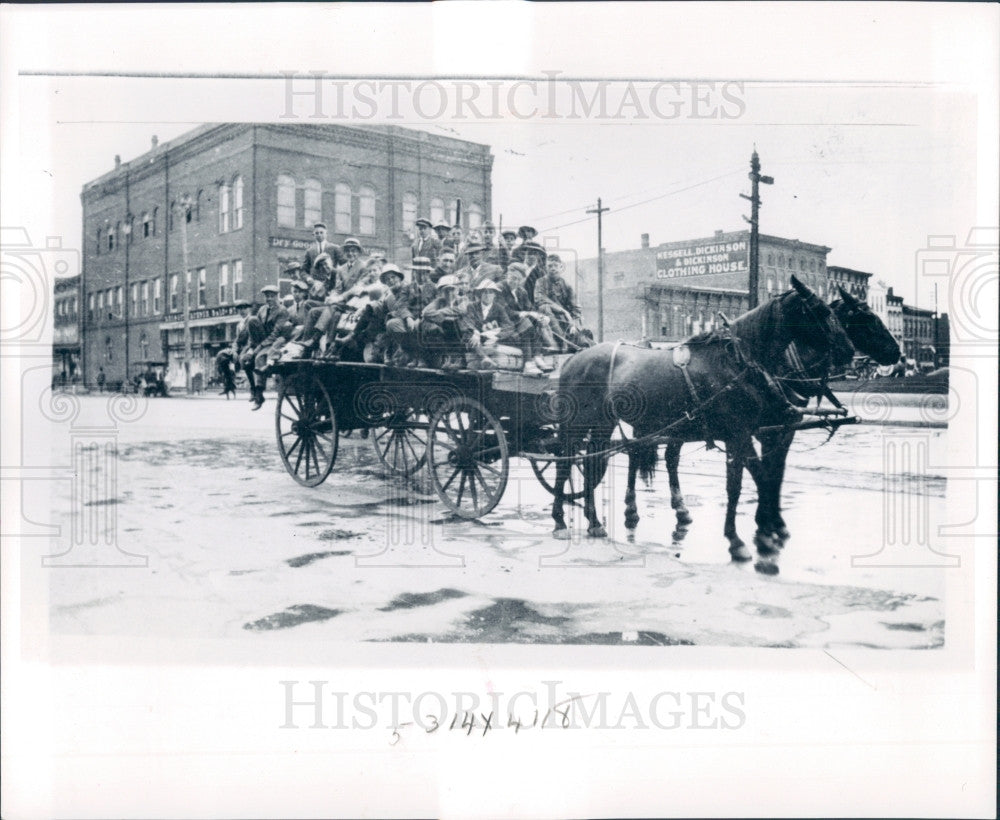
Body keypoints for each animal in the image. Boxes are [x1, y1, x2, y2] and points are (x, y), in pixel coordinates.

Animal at [552, 276, 856, 564]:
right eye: (820, 310)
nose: (849, 351)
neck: (737, 362)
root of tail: (573, 358)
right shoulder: (740, 434)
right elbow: (753, 479)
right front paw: (746, 537)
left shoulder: (751, 433)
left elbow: (746, 481)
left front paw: (758, 531)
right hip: (577, 425)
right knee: (565, 465)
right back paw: (560, 521)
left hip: (603, 425)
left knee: (593, 464)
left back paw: (594, 521)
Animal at [660, 286, 904, 556]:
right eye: (868, 318)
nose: (896, 352)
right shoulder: (765, 430)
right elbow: (765, 472)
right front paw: (767, 522)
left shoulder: (783, 428)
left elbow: (775, 471)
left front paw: (772, 522)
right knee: (670, 458)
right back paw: (680, 508)